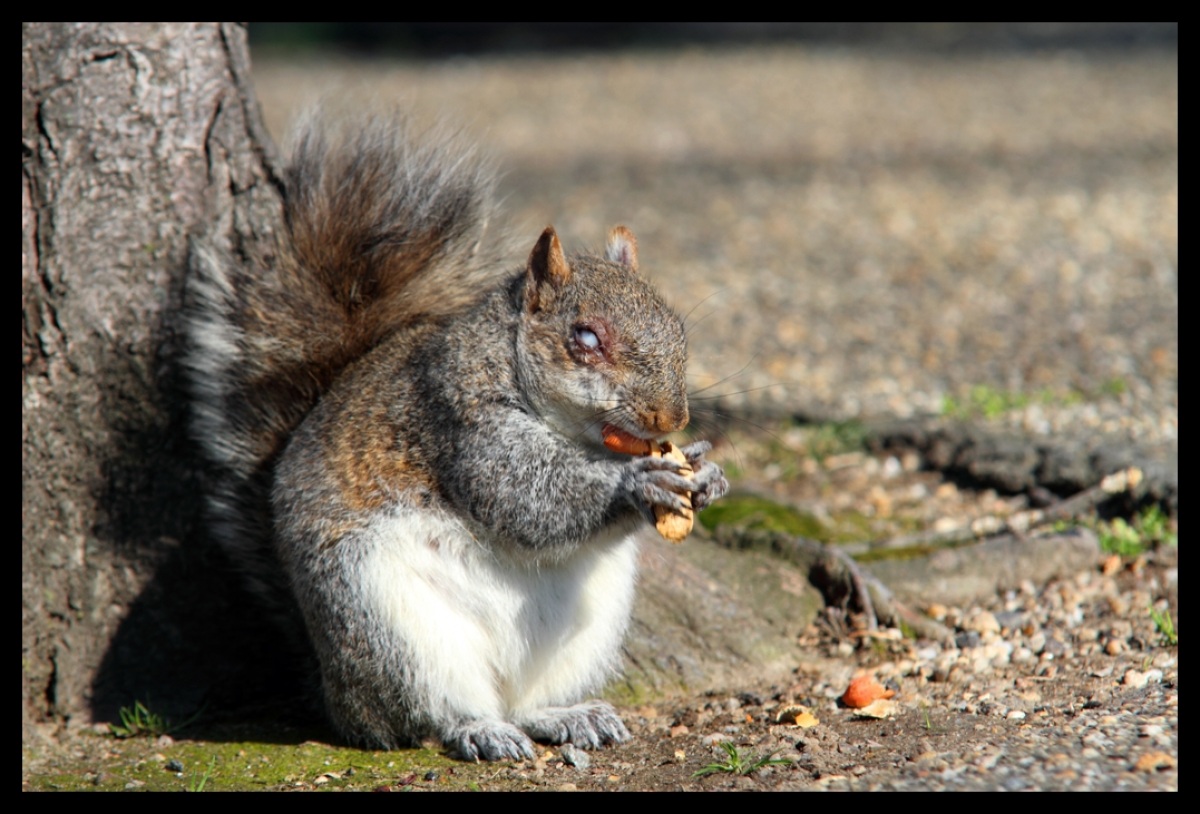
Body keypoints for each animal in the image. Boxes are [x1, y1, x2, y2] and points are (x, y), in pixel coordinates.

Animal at [184, 108, 728, 761]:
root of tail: (332, 689)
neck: (579, 438)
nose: (670, 419)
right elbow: (521, 495)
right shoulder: (455, 415)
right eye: (586, 338)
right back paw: (479, 730)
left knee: (527, 702)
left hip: (587, 624)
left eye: (678, 329)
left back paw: (567, 715)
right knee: (427, 713)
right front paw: (636, 482)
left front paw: (707, 473)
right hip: (385, 620)